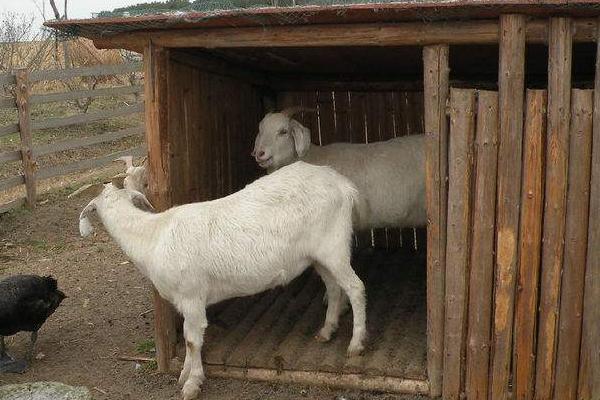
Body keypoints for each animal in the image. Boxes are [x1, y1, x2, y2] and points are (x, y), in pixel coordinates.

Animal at [75, 161, 366, 400]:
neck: (154, 236)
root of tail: (343, 185)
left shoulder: (192, 296)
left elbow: (192, 340)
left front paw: (192, 383)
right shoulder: (184, 302)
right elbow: (187, 338)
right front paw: (184, 372)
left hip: (334, 247)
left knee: (355, 288)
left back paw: (356, 344)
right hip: (319, 255)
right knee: (334, 288)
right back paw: (327, 330)